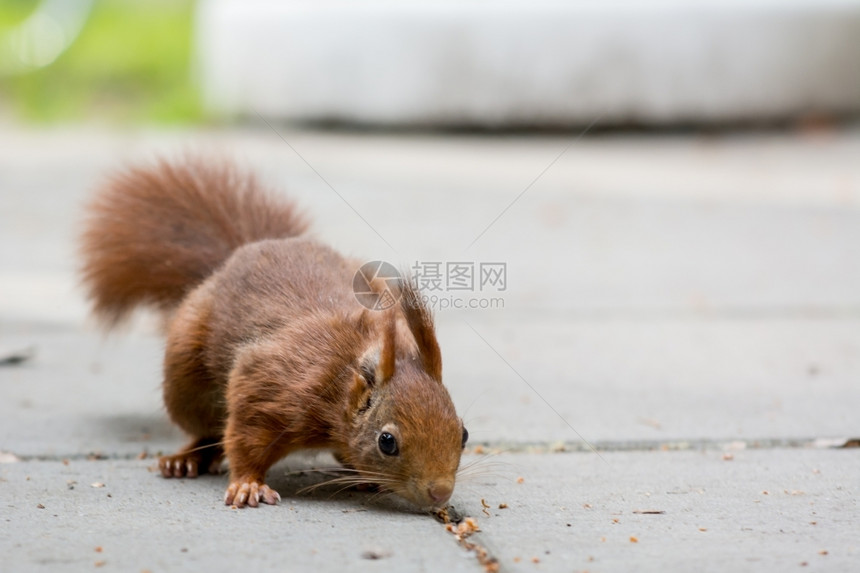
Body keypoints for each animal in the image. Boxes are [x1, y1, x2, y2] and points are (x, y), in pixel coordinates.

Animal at [80, 154, 466, 508]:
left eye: (463, 433)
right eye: (387, 442)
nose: (440, 493)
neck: (341, 380)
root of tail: (238, 254)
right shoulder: (270, 388)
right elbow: (245, 439)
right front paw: (248, 484)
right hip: (185, 378)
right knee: (206, 428)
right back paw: (188, 457)